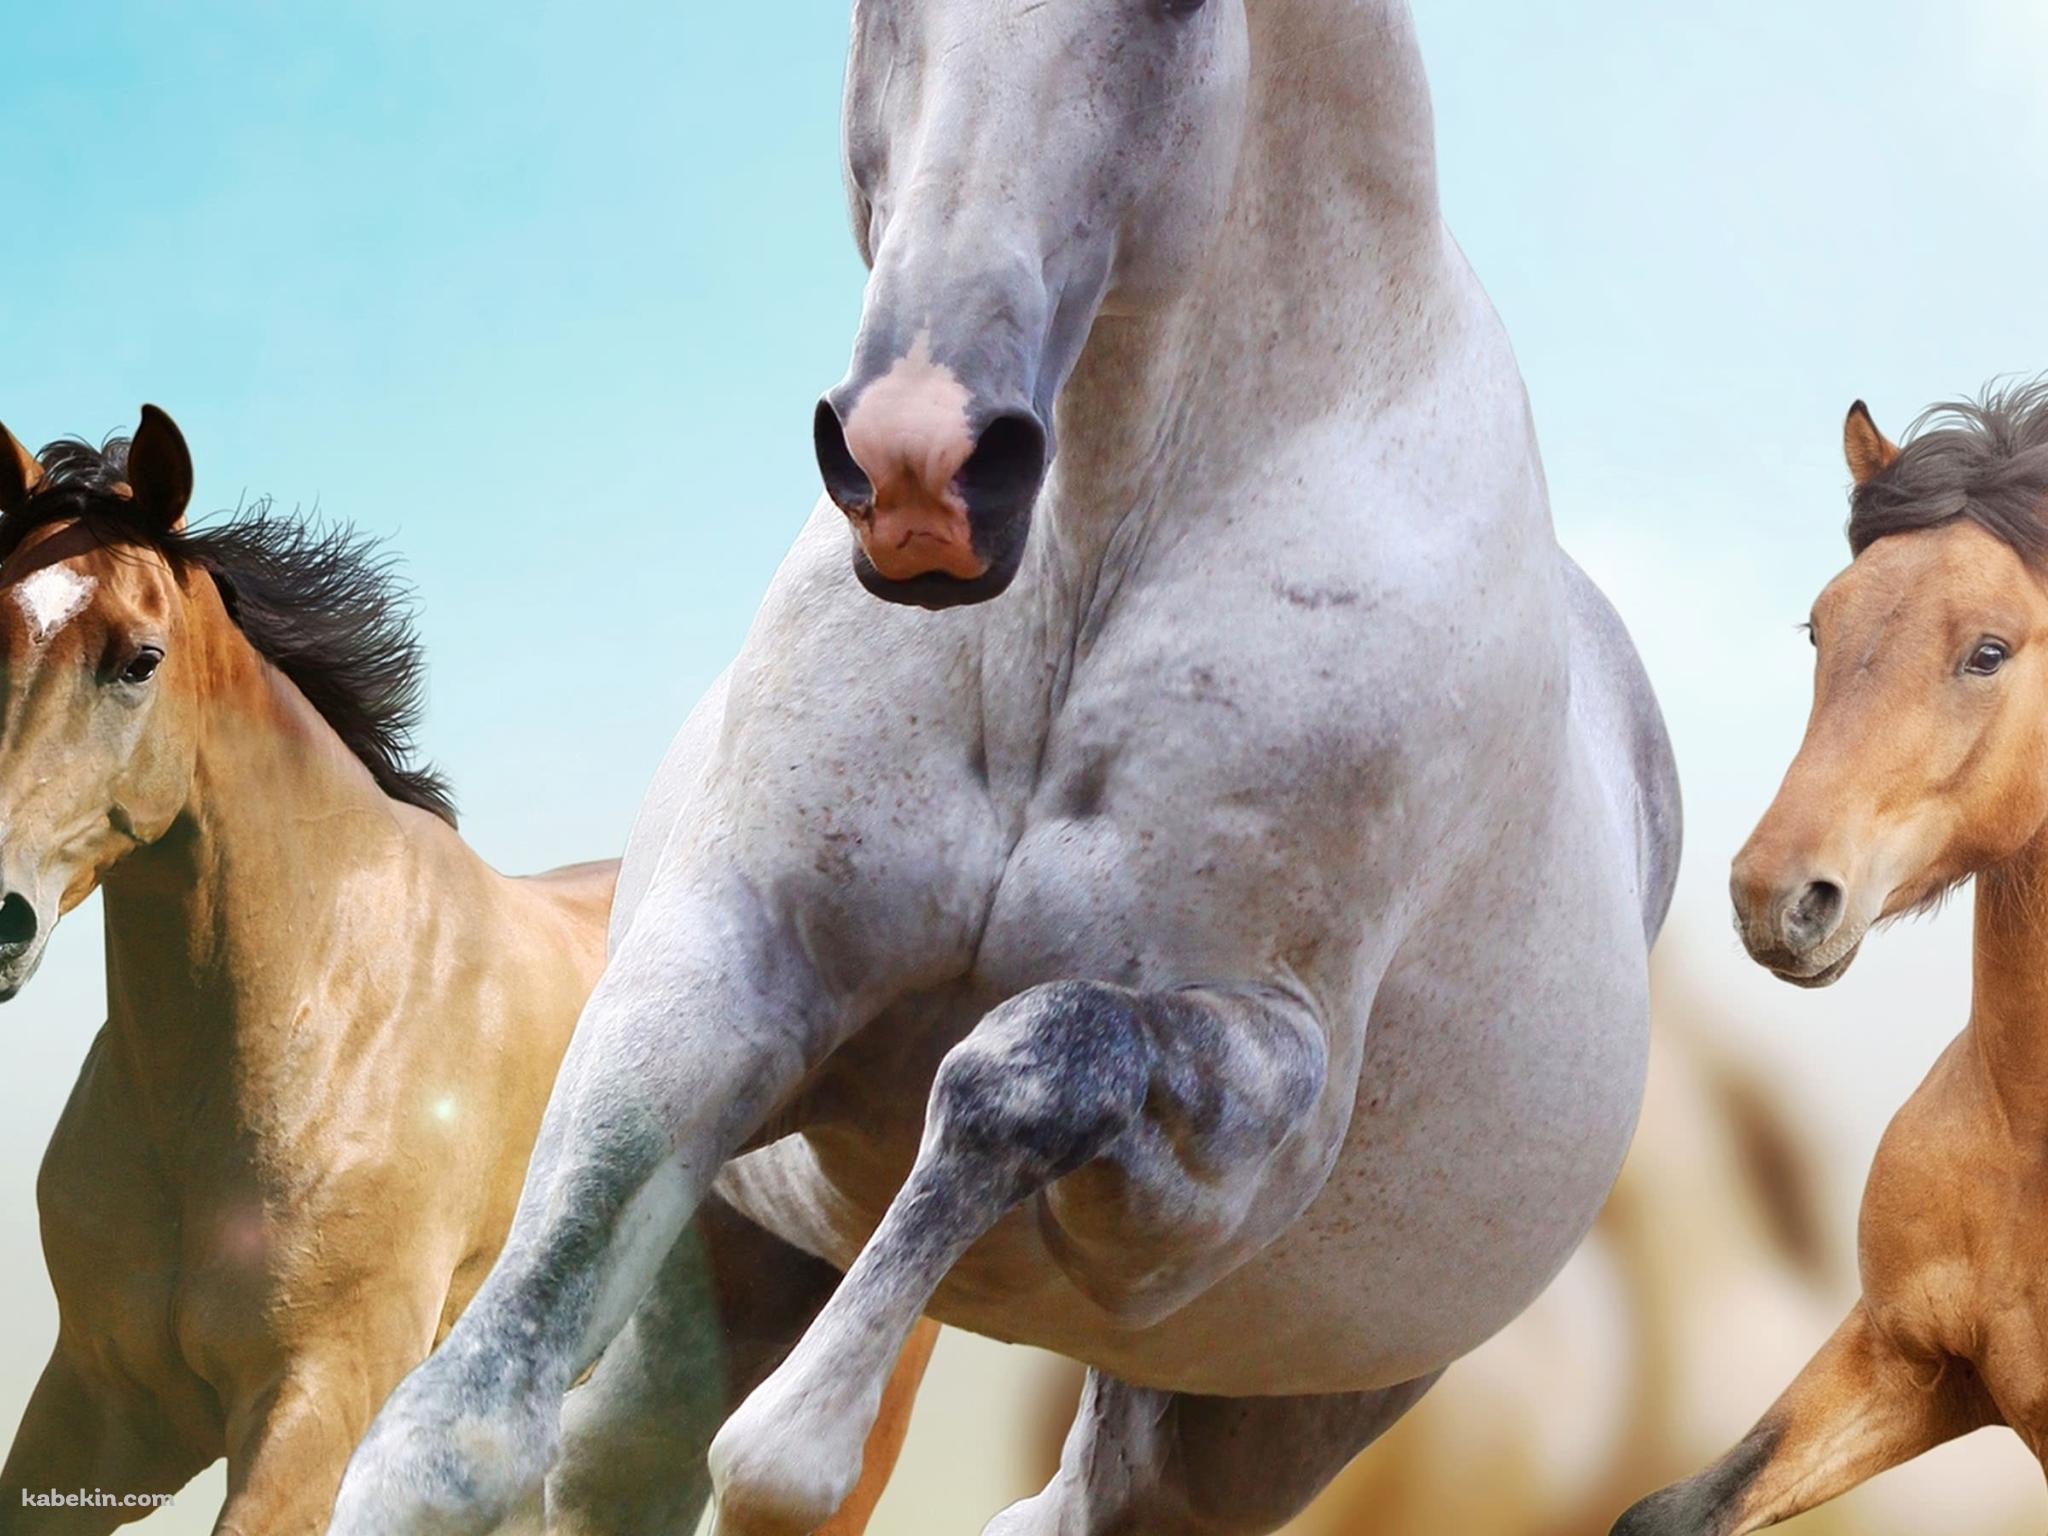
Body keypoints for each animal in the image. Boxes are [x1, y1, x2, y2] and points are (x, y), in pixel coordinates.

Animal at [330, 2, 1680, 1531]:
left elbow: (1032, 1057)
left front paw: (800, 1436)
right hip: (729, 1267)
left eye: (1177, 12)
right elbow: (452, 1431)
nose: (920, 467)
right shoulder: (725, 970)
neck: (1078, 591)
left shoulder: (1234, 1153)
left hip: (1250, 1427)